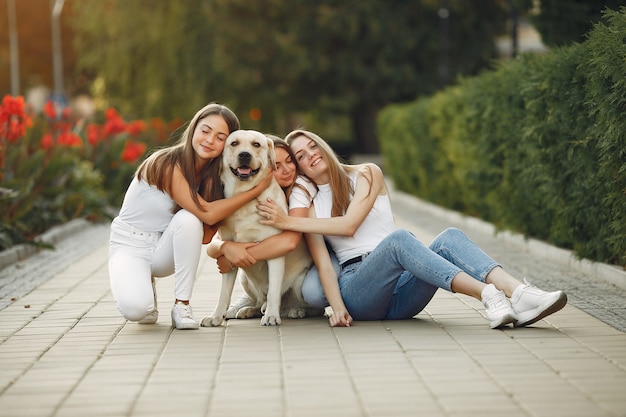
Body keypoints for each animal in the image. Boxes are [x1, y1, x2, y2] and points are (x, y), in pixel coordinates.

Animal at [205, 130, 320, 324]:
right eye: (234, 143)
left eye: (256, 144)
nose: (244, 155)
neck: (243, 198)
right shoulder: (228, 254)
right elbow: (224, 294)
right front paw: (216, 316)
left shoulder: (276, 250)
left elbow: (274, 290)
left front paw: (272, 316)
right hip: (244, 279)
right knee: (260, 302)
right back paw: (249, 310)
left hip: (299, 283)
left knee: (304, 306)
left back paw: (293, 311)